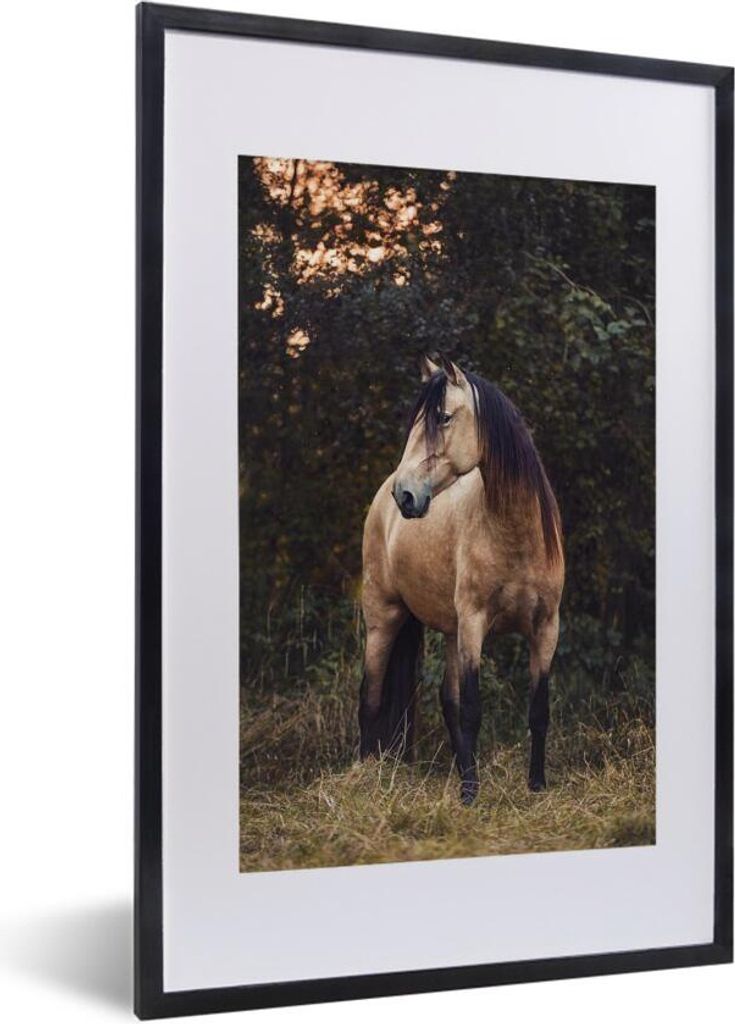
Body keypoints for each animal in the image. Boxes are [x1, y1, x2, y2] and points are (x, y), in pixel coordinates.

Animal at [359, 354, 564, 805]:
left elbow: (539, 710)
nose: (405, 495)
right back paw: (362, 777)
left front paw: (536, 785)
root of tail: (381, 499)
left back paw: (460, 774)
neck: (515, 536)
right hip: (384, 619)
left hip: (450, 631)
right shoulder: (474, 624)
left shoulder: (546, 628)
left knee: (445, 701)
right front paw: (472, 796)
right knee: (371, 696)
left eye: (444, 417)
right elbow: (472, 709)